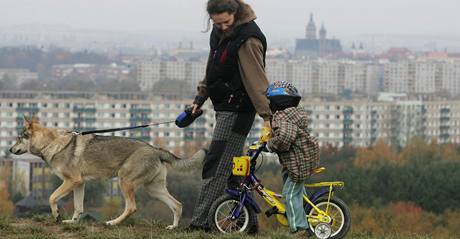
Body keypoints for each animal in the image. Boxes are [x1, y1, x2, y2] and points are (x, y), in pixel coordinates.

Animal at [8, 116, 207, 228]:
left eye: (18, 138)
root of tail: (155, 149)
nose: (9, 149)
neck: (51, 143)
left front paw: (56, 215)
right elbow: (78, 207)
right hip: (154, 190)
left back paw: (112, 223)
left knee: (132, 207)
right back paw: (173, 228)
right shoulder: (79, 183)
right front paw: (72, 222)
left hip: (124, 182)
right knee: (177, 205)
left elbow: (51, 197)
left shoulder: (71, 181)